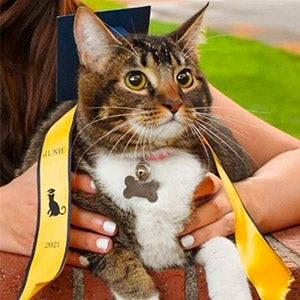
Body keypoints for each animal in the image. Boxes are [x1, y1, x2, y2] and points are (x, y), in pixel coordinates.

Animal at [17, 4, 254, 300]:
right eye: (135, 79)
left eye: (184, 77)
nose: (174, 103)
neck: (150, 159)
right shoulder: (91, 234)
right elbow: (123, 267)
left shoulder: (204, 220)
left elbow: (223, 246)